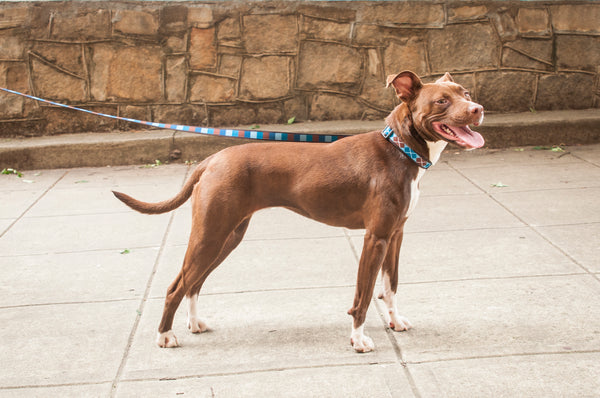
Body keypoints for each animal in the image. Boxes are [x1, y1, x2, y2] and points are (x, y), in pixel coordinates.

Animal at [115, 70, 486, 352]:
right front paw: (358, 339)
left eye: (465, 92)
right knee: (177, 285)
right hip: (211, 234)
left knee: (194, 282)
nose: (478, 108)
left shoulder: (396, 235)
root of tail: (212, 159)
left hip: (228, 236)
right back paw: (165, 335)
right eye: (442, 101)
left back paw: (193, 323)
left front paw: (394, 322)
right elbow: (365, 296)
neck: (399, 149)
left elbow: (391, 286)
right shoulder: (376, 238)